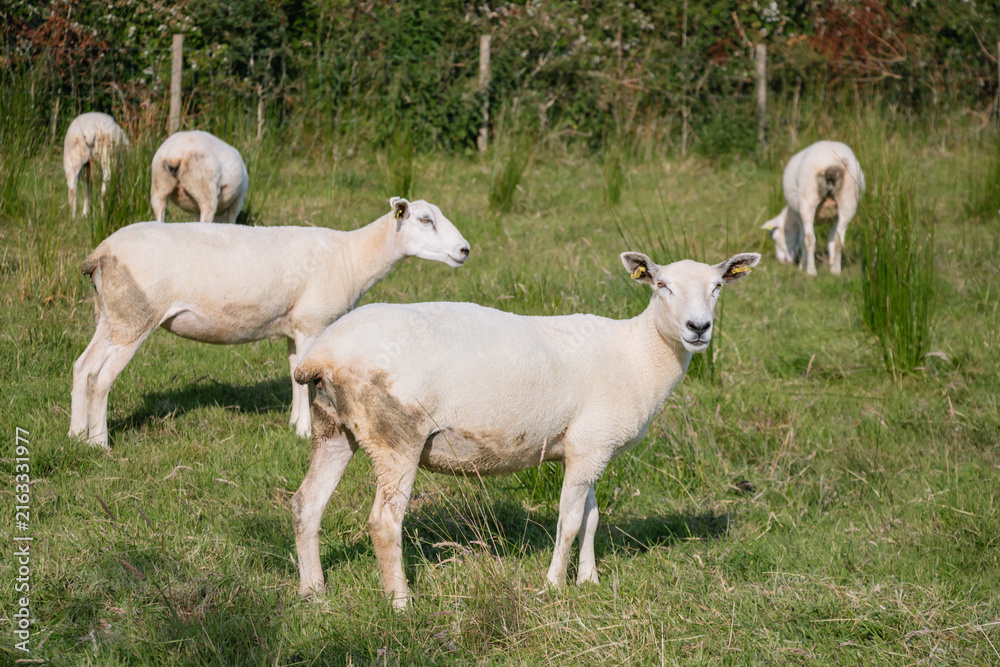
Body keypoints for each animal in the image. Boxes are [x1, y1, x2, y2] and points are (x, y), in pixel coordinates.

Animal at [69, 198, 471, 448]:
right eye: (425, 220)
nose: (465, 250)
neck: (353, 256)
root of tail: (100, 253)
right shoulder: (312, 323)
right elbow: (306, 382)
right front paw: (306, 432)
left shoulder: (295, 328)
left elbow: (295, 375)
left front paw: (294, 425)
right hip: (135, 318)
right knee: (101, 378)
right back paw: (100, 442)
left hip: (111, 315)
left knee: (82, 367)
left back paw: (75, 435)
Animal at [290, 250, 760, 608]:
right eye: (662, 286)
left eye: (717, 287)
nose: (699, 328)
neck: (638, 354)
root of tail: (322, 355)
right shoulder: (591, 445)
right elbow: (569, 521)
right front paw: (553, 586)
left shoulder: (590, 446)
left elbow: (591, 517)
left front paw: (589, 581)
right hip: (397, 434)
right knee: (384, 522)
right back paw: (401, 604)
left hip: (333, 425)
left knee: (306, 504)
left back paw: (314, 593)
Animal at [761, 140, 865, 276]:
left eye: (774, 237)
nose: (781, 260)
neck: (790, 216)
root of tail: (833, 162)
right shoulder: (834, 218)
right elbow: (831, 240)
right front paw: (831, 264)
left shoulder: (798, 217)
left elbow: (802, 239)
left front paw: (802, 265)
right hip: (848, 201)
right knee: (839, 241)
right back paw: (836, 271)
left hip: (808, 200)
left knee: (810, 239)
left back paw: (811, 271)